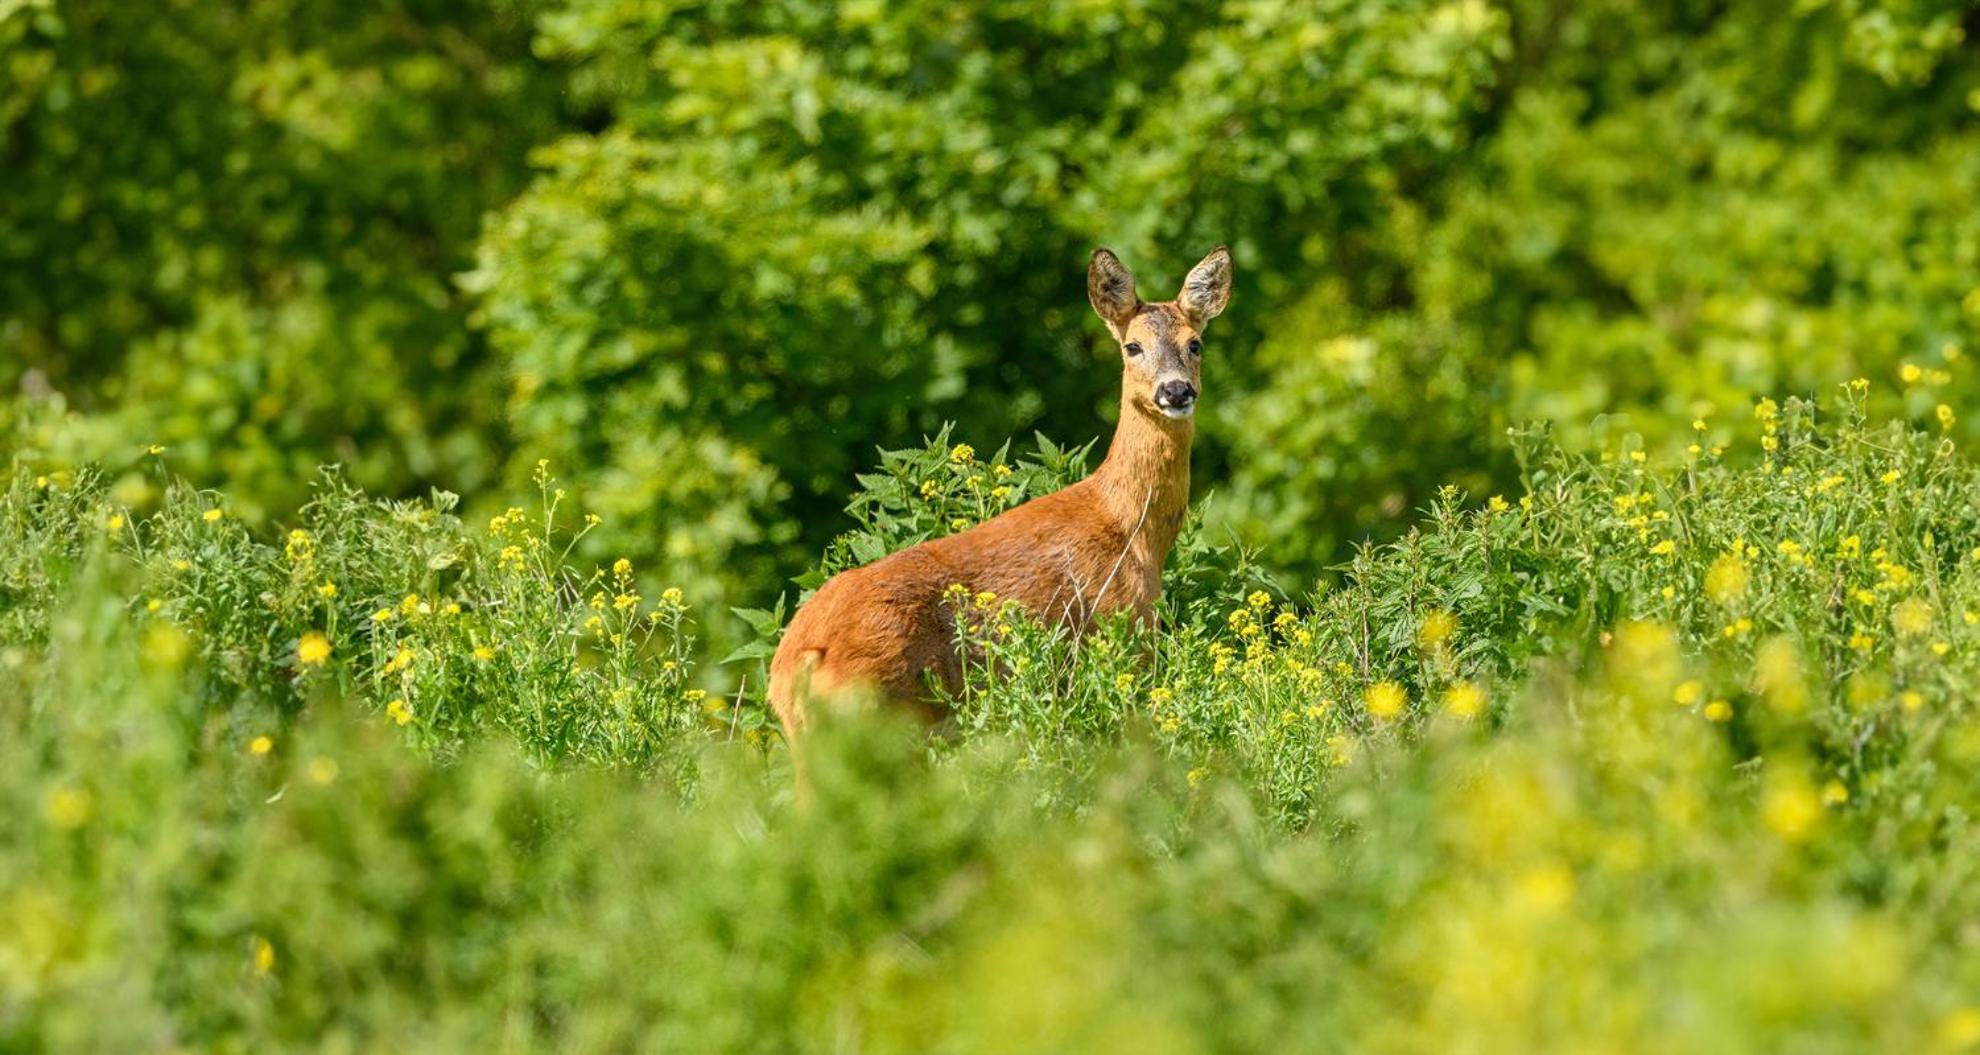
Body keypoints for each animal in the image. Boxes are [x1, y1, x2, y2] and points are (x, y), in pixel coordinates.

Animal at [764, 245, 1227, 740]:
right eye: (1132, 346)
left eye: (1195, 344)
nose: (1176, 390)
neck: (1133, 530)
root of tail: (796, 664)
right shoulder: (1124, 631)